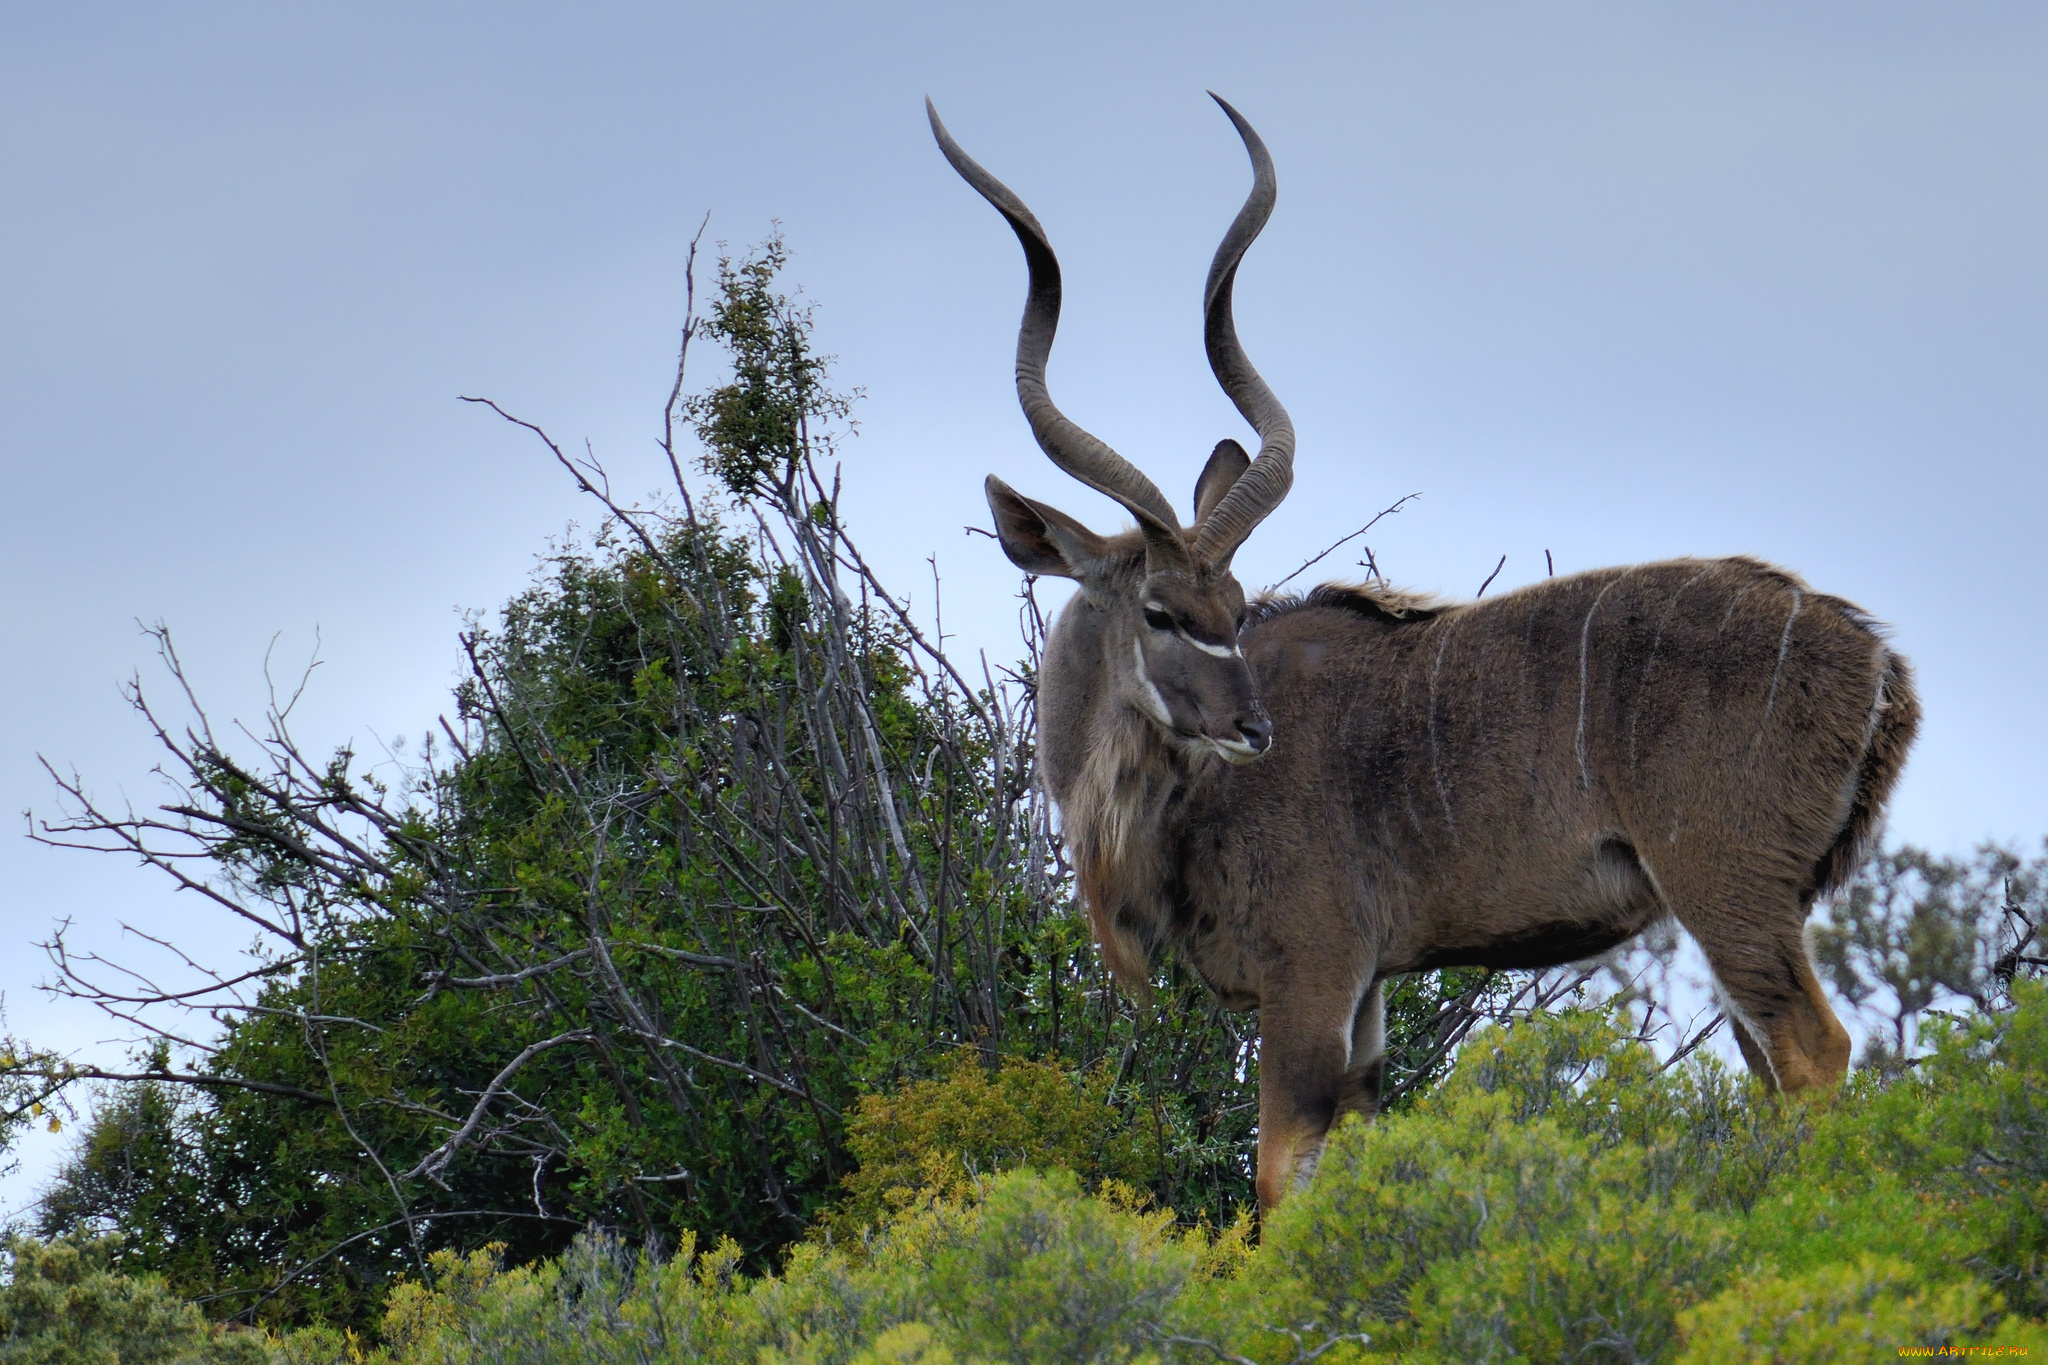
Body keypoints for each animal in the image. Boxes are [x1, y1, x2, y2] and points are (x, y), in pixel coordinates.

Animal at [929, 96, 1916, 1203]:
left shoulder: (1311, 971)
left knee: (1813, 1052)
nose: (1251, 728)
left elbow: (1280, 1178)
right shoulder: (1365, 992)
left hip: (1725, 887)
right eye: (1161, 609)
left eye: (1231, 603)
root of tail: (1874, 661)